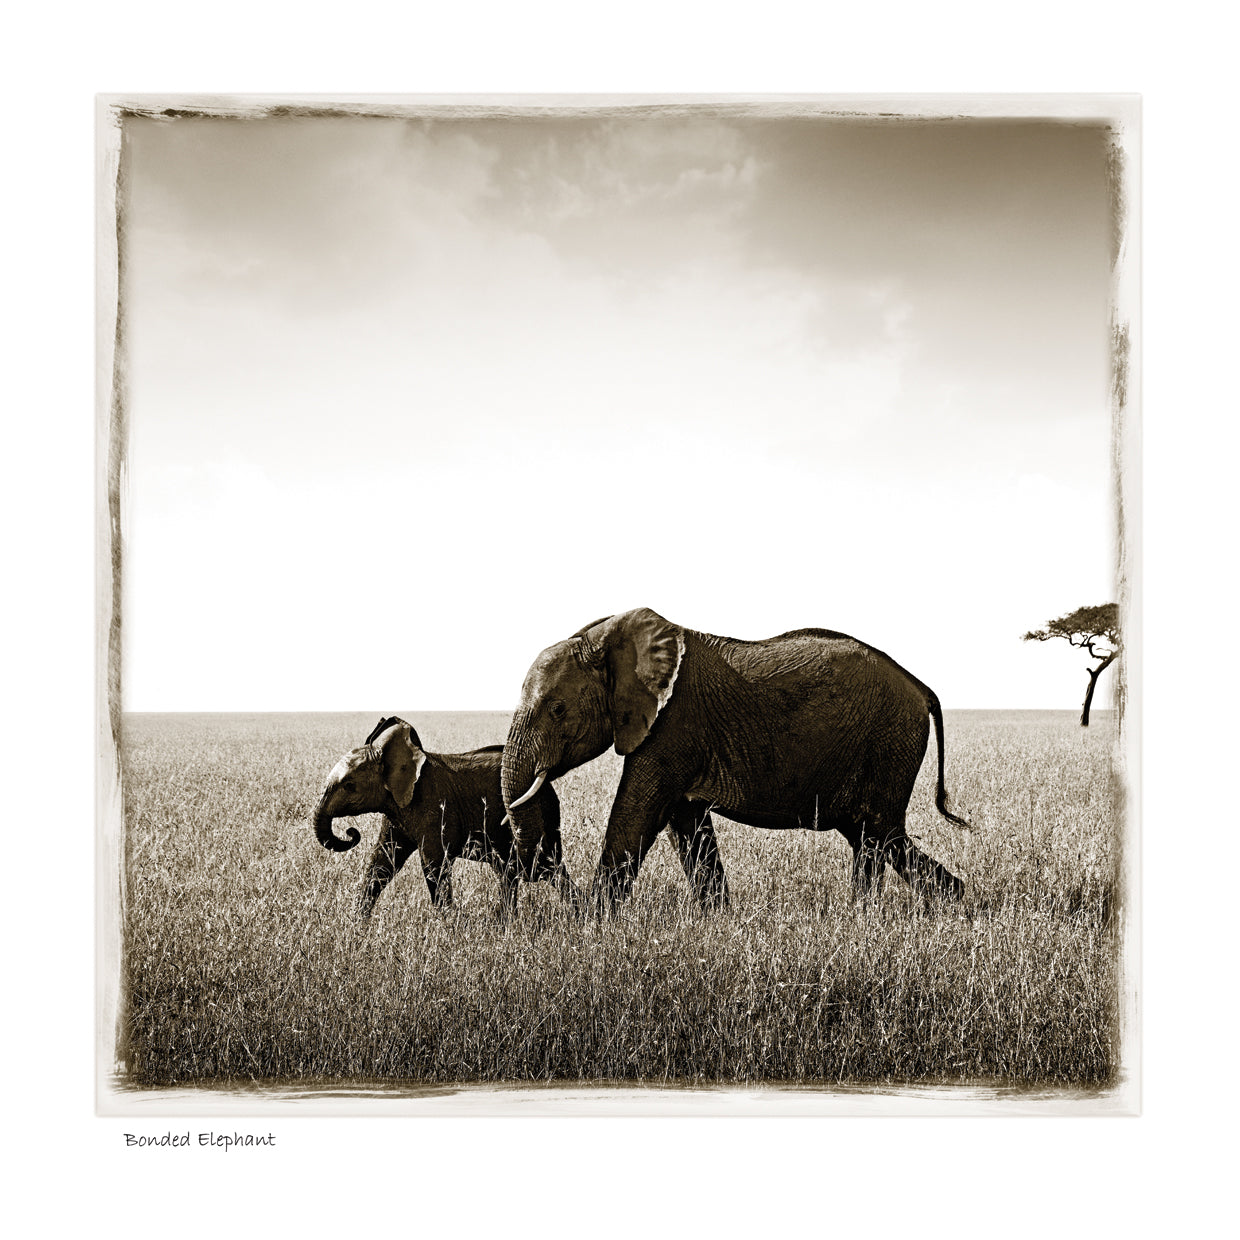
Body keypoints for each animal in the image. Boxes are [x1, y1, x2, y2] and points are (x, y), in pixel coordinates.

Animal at [312, 716, 576, 916]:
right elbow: (382, 863)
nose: (351, 833)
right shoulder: (396, 808)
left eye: (349, 786)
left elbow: (433, 866)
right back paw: (509, 923)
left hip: (542, 813)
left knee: (545, 865)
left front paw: (451, 928)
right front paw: (356, 925)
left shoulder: (433, 806)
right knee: (509, 872)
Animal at [501, 608, 970, 912]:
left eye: (557, 709)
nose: (542, 871)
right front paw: (719, 919)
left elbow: (636, 814)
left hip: (889, 741)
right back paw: (957, 902)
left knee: (877, 833)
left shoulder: (673, 723)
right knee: (881, 836)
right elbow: (686, 823)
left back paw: (863, 918)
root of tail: (921, 687)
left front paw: (593, 924)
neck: (608, 638)